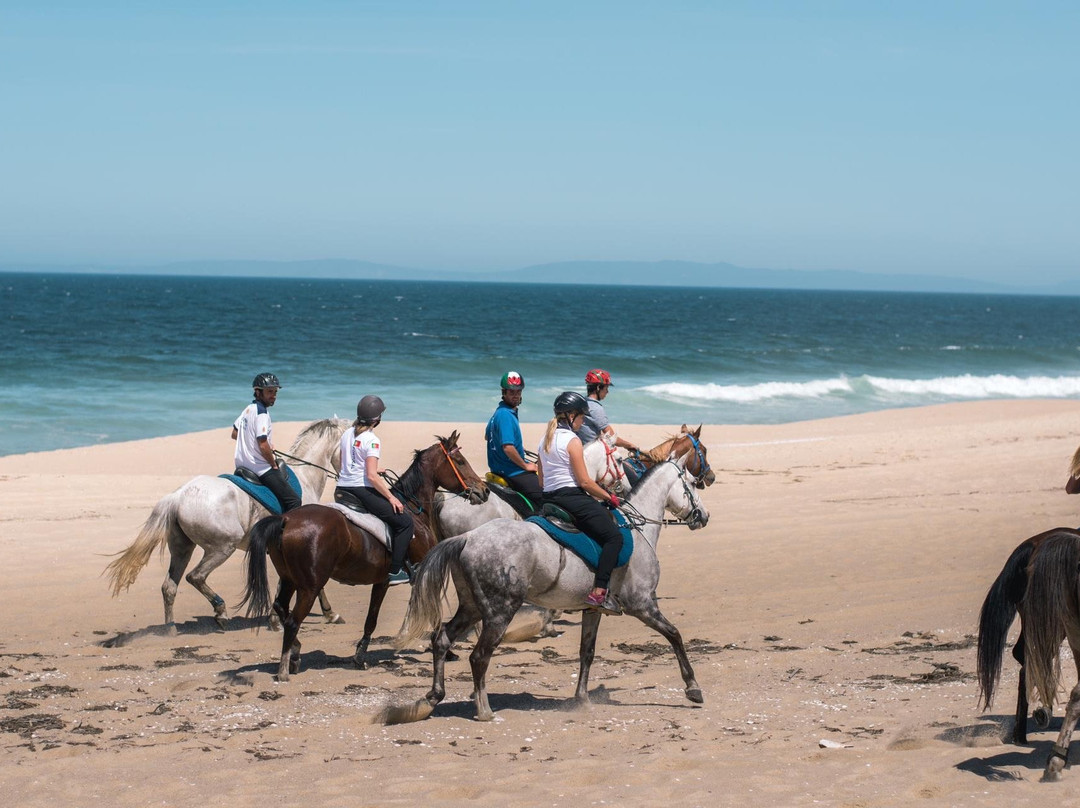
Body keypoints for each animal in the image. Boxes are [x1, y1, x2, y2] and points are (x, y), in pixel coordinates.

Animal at [103, 416, 347, 630]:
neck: (305, 478)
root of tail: (178, 496)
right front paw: (324, 614)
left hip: (183, 548)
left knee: (169, 587)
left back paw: (170, 630)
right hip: (223, 547)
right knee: (196, 576)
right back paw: (220, 612)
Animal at [243, 432, 488, 678]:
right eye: (460, 462)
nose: (484, 490)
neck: (412, 509)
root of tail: (286, 519)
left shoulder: (381, 581)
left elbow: (371, 620)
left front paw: (360, 656)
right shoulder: (419, 575)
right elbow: (431, 612)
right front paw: (447, 650)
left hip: (289, 579)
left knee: (280, 607)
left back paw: (295, 649)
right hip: (309, 587)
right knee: (293, 621)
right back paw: (286, 666)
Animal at [395, 458, 708, 721]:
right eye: (693, 483)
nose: (703, 516)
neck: (636, 530)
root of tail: (468, 538)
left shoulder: (593, 609)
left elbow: (587, 652)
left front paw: (582, 699)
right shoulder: (643, 605)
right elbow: (675, 635)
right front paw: (692, 687)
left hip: (472, 607)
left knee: (442, 640)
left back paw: (434, 696)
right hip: (499, 612)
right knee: (479, 656)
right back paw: (483, 709)